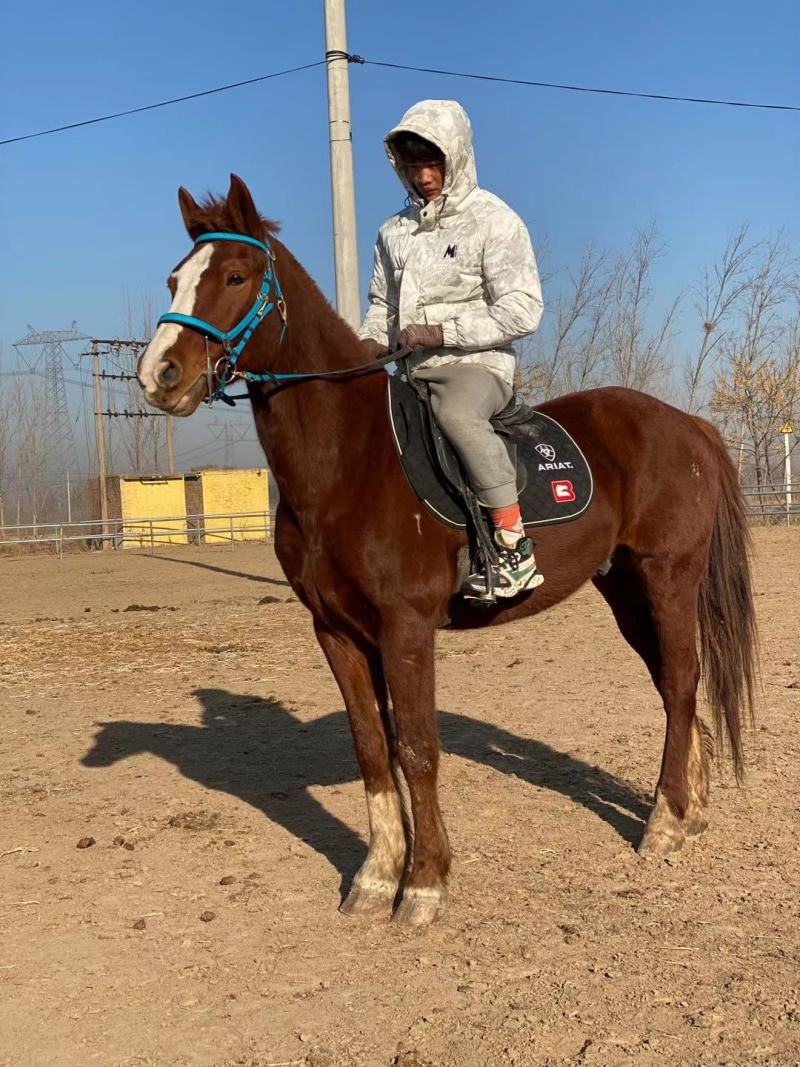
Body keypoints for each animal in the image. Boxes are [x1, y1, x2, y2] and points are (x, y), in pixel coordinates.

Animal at [137, 174, 757, 926]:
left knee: (682, 680)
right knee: (675, 684)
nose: (160, 373)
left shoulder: (406, 628)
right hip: (626, 588)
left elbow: (417, 748)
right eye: (175, 278)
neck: (347, 459)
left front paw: (425, 883)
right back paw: (688, 812)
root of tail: (688, 424)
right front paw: (377, 878)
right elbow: (373, 748)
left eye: (234, 275)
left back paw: (663, 823)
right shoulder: (336, 631)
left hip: (669, 576)